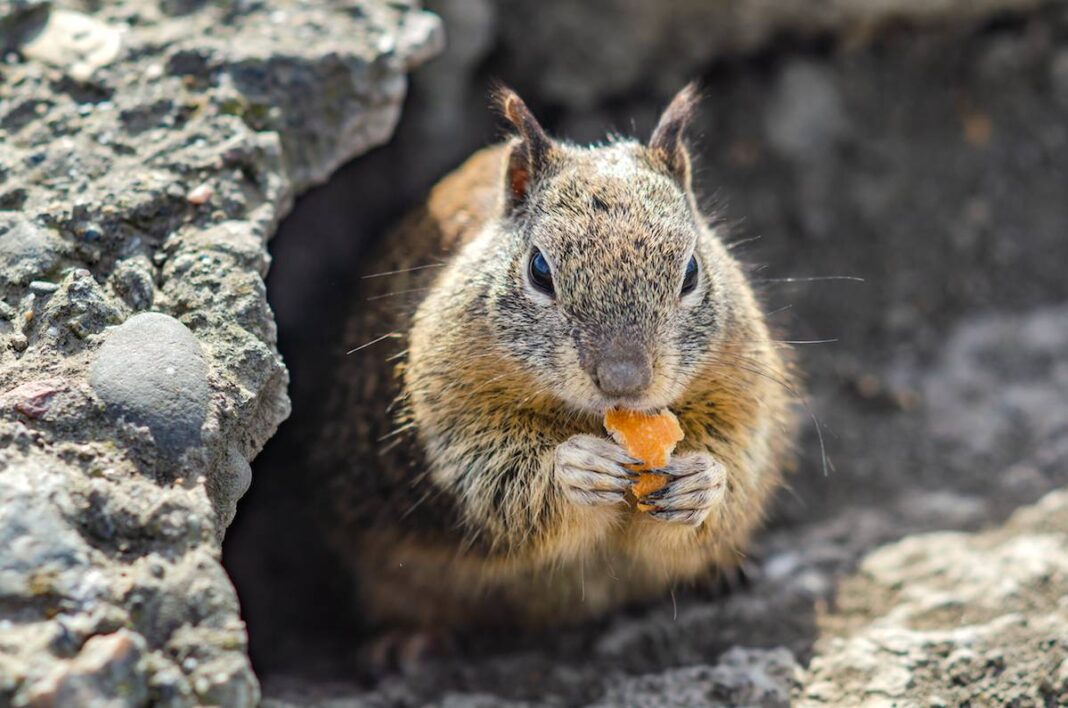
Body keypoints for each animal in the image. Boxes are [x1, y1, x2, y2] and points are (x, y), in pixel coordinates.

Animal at [316, 84, 798, 631]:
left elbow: (737, 460)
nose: (624, 380)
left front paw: (702, 481)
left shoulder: (744, 393)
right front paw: (574, 468)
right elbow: (491, 475)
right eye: (540, 270)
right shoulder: (445, 407)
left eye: (692, 270)